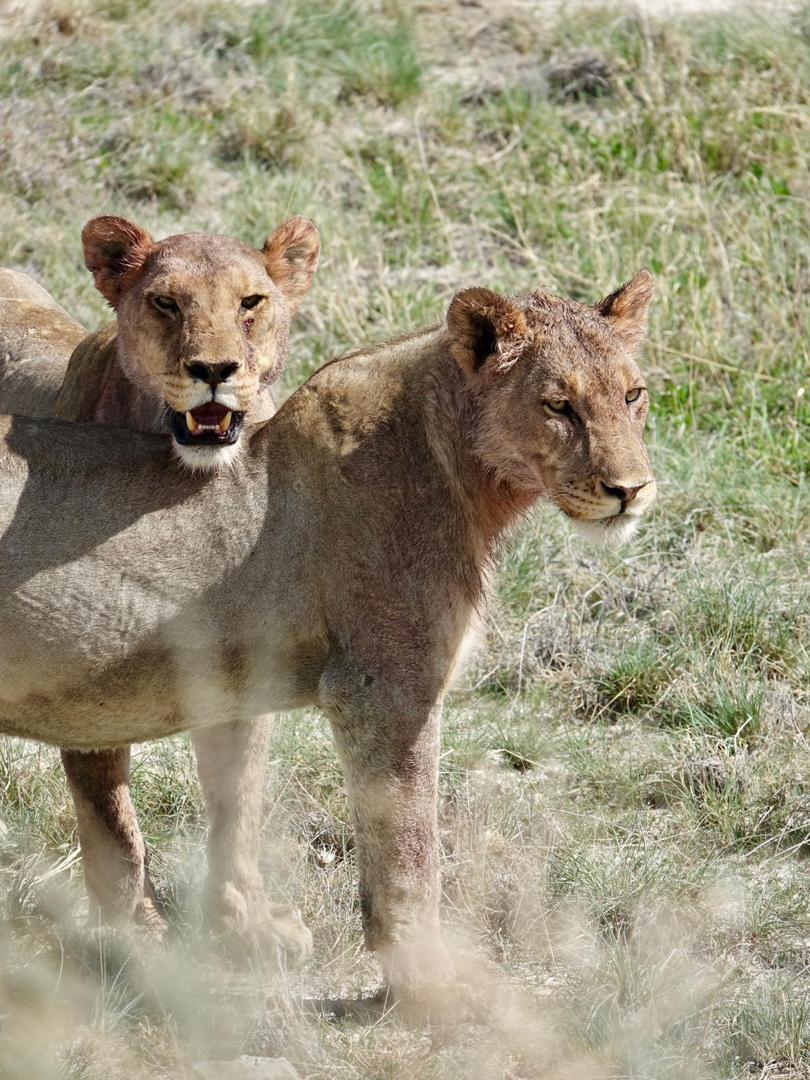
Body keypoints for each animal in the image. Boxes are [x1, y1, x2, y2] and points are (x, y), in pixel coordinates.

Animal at [0, 272, 655, 999]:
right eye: (558, 405)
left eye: (633, 395)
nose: (631, 490)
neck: (458, 470)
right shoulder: (381, 688)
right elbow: (409, 851)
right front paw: (432, 988)